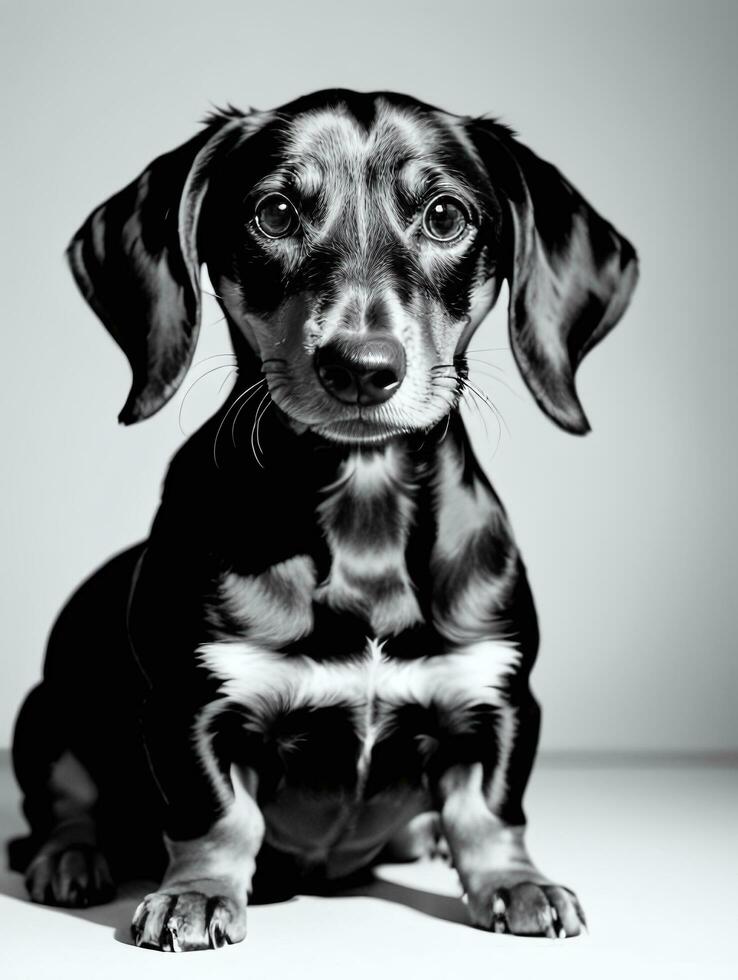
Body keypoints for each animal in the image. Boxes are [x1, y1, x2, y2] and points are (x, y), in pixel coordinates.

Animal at [8, 90, 636, 948]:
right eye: (274, 213)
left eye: (446, 216)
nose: (362, 368)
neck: (360, 508)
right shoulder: (190, 705)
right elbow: (218, 818)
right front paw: (196, 895)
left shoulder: (500, 695)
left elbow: (490, 812)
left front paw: (518, 883)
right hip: (43, 717)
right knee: (66, 805)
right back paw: (70, 858)